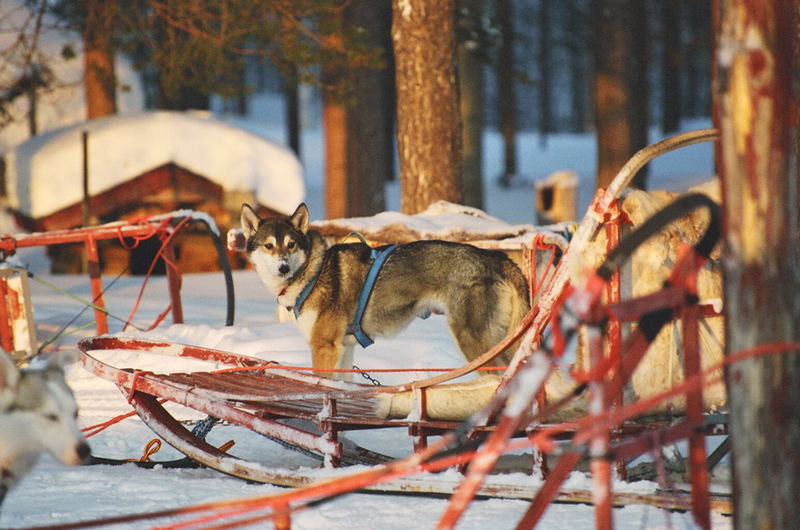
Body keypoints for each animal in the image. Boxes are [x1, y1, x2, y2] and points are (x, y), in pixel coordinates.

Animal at [242, 200, 532, 378]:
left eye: (291, 245)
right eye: (269, 246)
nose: (283, 268)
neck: (313, 272)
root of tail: (496, 257)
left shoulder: (324, 346)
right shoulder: (343, 349)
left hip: (473, 342)